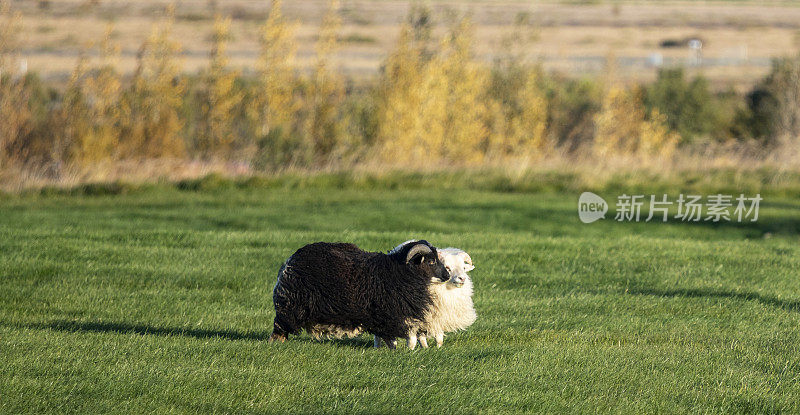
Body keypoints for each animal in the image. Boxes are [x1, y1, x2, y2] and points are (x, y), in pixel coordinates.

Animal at [268, 240, 444, 348]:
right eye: (431, 261)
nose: (447, 275)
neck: (398, 272)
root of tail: (289, 263)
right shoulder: (387, 316)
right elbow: (391, 339)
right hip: (290, 307)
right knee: (280, 328)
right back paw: (275, 343)